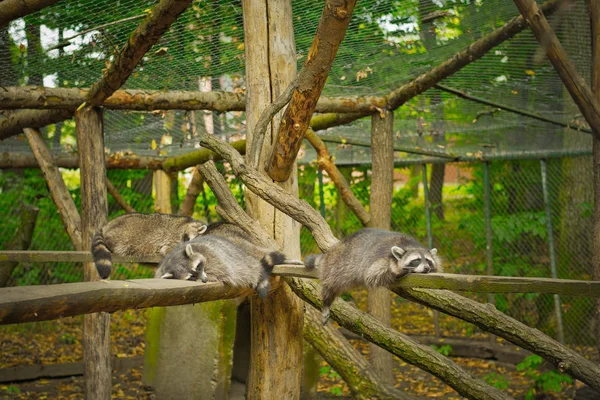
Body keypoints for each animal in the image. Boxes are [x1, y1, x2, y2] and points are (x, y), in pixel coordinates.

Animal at [155, 233, 300, 298]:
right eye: (191, 276)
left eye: (198, 267)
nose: (204, 280)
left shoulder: (214, 257)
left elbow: (221, 272)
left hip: (242, 250)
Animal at [304, 228, 440, 324]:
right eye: (416, 260)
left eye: (428, 261)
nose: (426, 268)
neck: (410, 245)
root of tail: (339, 245)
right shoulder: (382, 261)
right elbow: (372, 275)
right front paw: (401, 271)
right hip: (337, 263)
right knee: (331, 284)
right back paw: (327, 302)